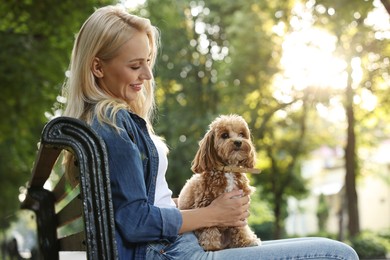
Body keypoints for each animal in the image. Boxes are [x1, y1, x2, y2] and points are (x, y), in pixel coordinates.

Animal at [178, 114, 260, 252]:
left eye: (242, 134)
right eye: (225, 135)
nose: (238, 142)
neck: (229, 169)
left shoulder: (239, 204)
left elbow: (240, 227)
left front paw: (246, 240)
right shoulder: (205, 203)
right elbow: (209, 226)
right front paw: (210, 244)